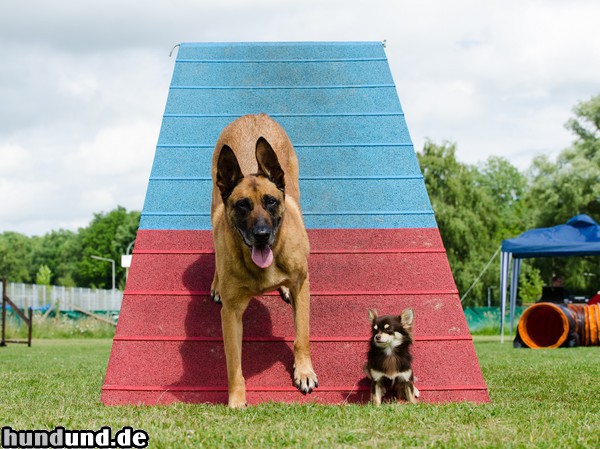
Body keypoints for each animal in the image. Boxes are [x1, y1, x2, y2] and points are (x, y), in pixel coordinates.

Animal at [210, 113, 316, 406]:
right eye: (242, 205)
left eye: (270, 201)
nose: (261, 235)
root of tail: (254, 115)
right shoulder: (231, 313)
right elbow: (233, 364)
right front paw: (236, 400)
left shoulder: (302, 285)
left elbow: (301, 336)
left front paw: (304, 372)